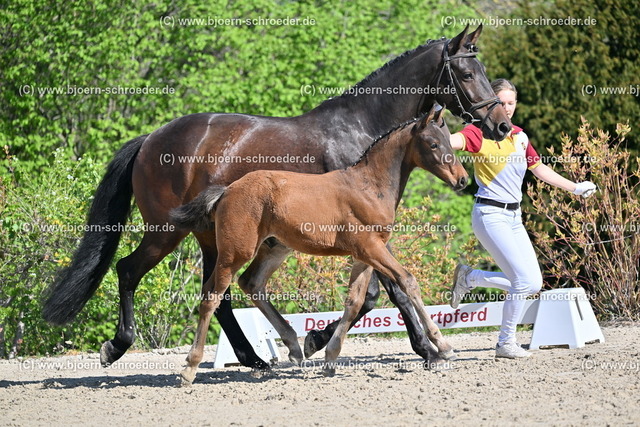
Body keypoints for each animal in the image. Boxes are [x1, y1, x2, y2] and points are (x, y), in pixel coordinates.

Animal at [171, 103, 467, 384]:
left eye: (449, 140)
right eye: (433, 143)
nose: (462, 179)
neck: (369, 186)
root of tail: (226, 190)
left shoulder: (363, 256)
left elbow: (355, 301)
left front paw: (329, 358)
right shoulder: (371, 249)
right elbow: (407, 281)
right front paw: (443, 347)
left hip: (274, 248)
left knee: (250, 283)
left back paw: (293, 346)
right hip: (235, 252)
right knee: (213, 296)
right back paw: (189, 369)